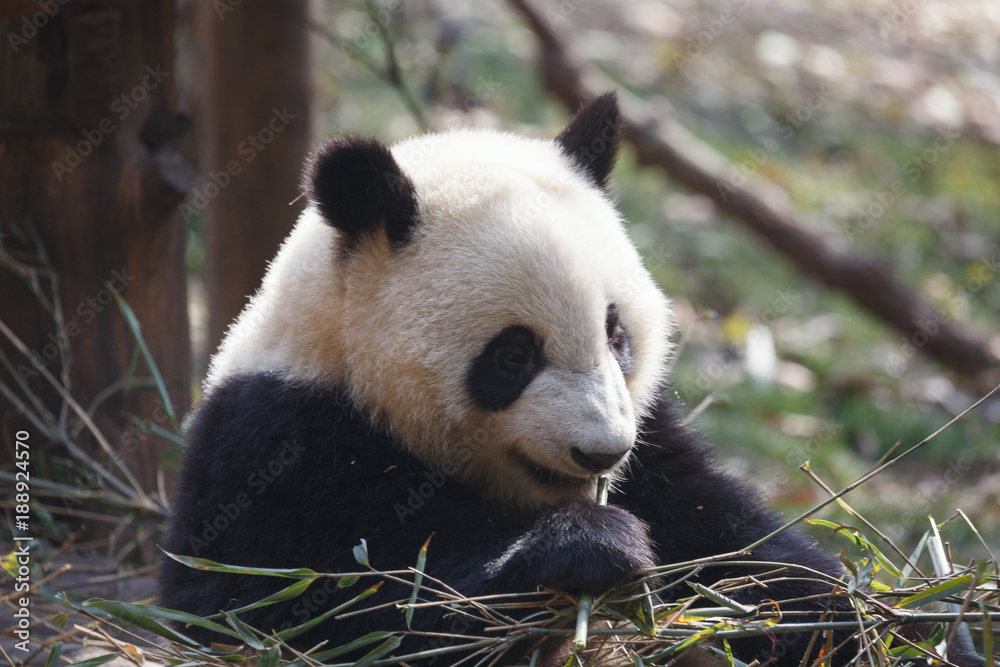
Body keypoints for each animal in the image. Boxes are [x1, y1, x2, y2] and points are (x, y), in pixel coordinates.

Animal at [159, 93, 851, 665]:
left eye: (615, 333)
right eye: (513, 356)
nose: (600, 453)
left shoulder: (654, 444)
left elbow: (742, 549)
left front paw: (842, 621)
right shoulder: (275, 442)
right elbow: (289, 603)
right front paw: (590, 549)